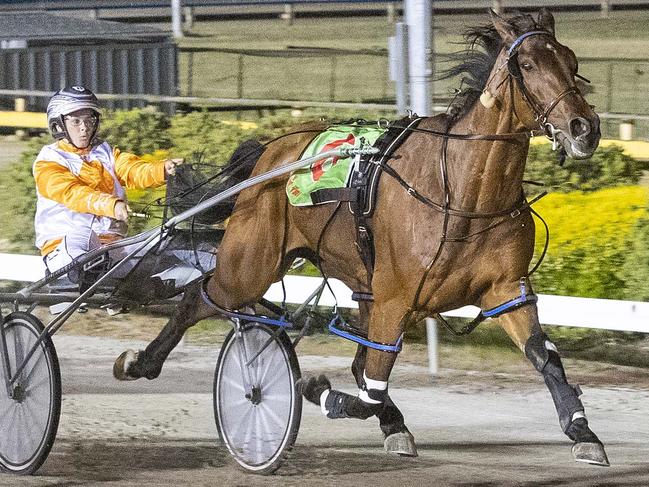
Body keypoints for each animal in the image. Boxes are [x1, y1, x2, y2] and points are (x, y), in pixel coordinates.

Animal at [115, 6, 608, 466]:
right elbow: (371, 385)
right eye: (526, 64)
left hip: (357, 280)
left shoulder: (505, 290)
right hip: (250, 265)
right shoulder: (396, 296)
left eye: (570, 60)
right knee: (199, 296)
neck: (462, 193)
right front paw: (319, 390)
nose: (584, 128)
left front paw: (583, 433)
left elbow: (544, 355)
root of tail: (271, 152)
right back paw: (141, 361)